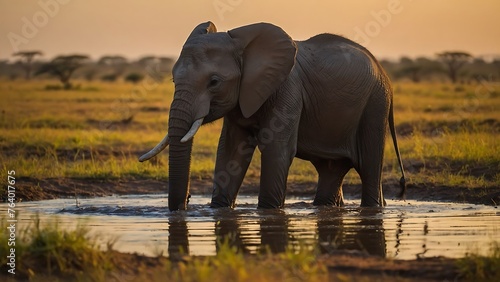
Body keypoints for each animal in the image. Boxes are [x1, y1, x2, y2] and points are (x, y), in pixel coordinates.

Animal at [139, 22, 404, 210]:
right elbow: (230, 151)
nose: (186, 203)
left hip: (375, 104)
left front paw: (268, 212)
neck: (243, 43)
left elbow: (277, 150)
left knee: (369, 165)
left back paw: (372, 208)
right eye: (173, 79)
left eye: (214, 82)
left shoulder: (288, 89)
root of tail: (385, 75)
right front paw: (219, 210)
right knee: (330, 169)